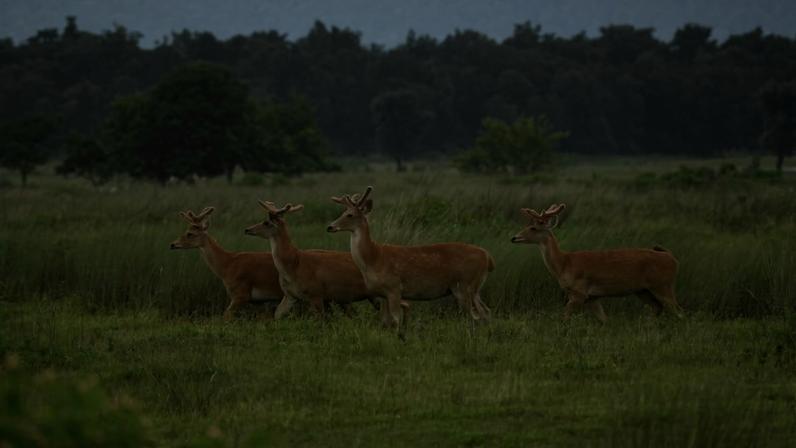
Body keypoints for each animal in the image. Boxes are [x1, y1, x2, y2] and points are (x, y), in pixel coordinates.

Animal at [243, 200, 389, 319]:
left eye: (266, 222)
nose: (247, 229)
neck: (294, 262)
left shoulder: (316, 293)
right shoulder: (290, 295)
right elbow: (277, 315)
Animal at [326, 186, 494, 331]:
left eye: (350, 215)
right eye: (342, 212)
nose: (330, 227)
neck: (374, 258)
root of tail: (488, 257)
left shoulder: (394, 287)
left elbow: (395, 320)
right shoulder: (382, 293)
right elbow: (384, 322)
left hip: (465, 284)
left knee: (476, 315)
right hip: (474, 288)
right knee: (486, 312)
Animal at [510, 203, 684, 322]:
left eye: (533, 228)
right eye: (527, 225)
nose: (514, 238)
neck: (564, 263)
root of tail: (672, 258)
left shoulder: (579, 292)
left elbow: (564, 318)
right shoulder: (593, 297)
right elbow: (604, 320)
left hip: (663, 285)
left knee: (678, 311)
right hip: (643, 290)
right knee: (658, 308)